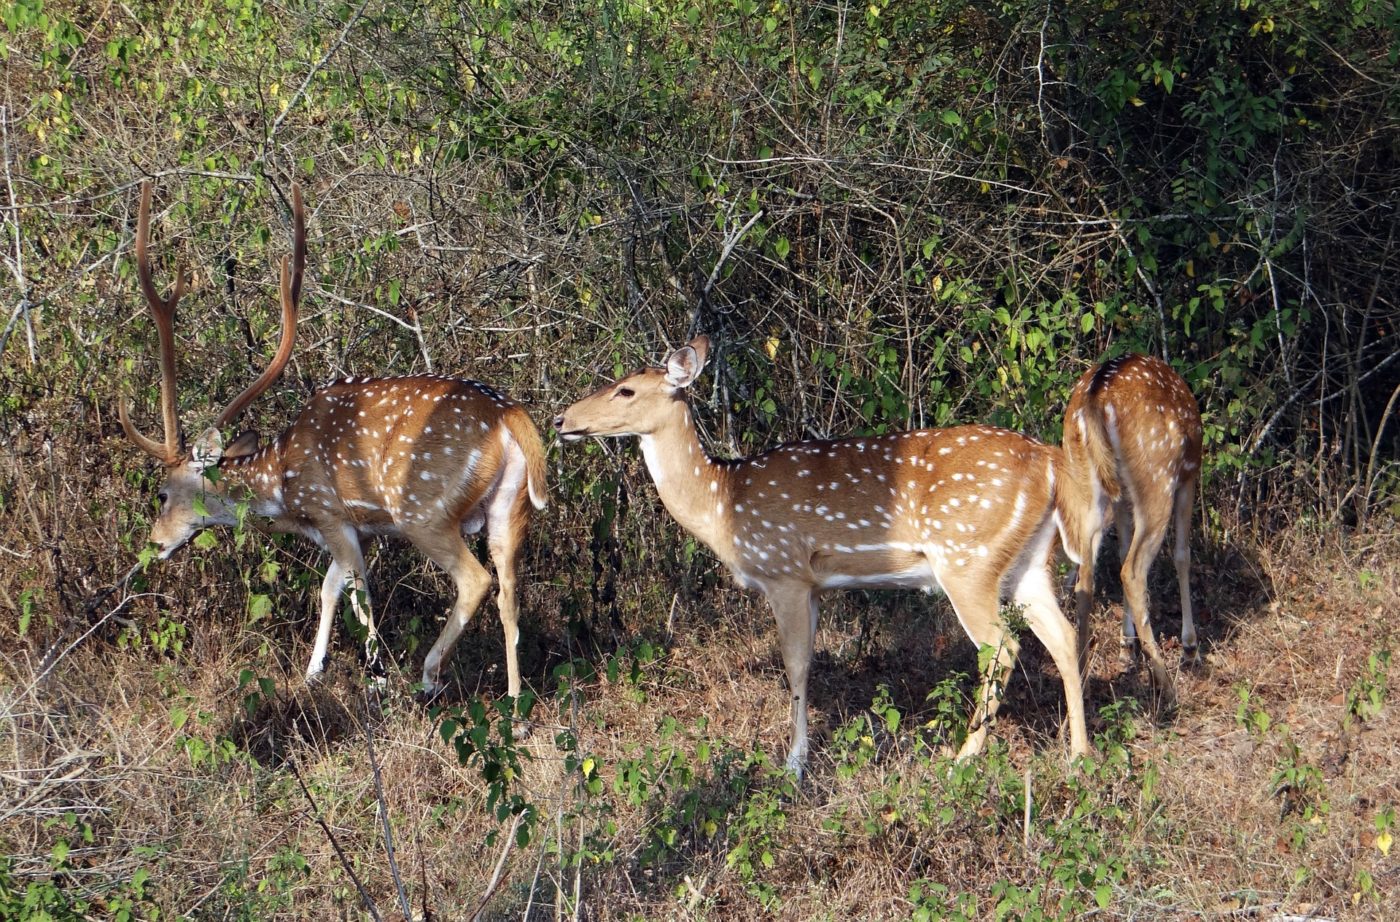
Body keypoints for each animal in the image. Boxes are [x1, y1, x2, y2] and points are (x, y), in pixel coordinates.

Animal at [119, 181, 546, 699]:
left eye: (161, 494)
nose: (154, 545)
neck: (281, 486)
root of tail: (510, 416)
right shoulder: (357, 529)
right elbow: (348, 588)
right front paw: (355, 672)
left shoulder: (331, 513)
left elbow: (340, 590)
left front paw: (340, 673)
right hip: (510, 507)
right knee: (511, 591)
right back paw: (515, 699)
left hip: (423, 508)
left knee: (476, 580)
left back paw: (427, 677)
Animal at [551, 335, 1086, 777]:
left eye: (625, 391)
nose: (561, 420)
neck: (722, 503)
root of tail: (1051, 462)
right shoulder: (813, 584)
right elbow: (807, 661)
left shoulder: (783, 571)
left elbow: (795, 664)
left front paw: (794, 764)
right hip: (1028, 561)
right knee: (1063, 635)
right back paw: (1080, 755)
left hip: (966, 558)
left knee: (1003, 647)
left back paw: (962, 760)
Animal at [1052, 349, 1209, 696]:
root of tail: (1097, 397)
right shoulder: (1188, 477)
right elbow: (1183, 556)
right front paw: (1191, 647)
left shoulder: (1123, 498)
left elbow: (1122, 547)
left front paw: (1127, 648)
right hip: (1157, 475)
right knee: (1132, 571)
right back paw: (1167, 684)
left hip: (1087, 482)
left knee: (1087, 576)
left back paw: (1083, 673)